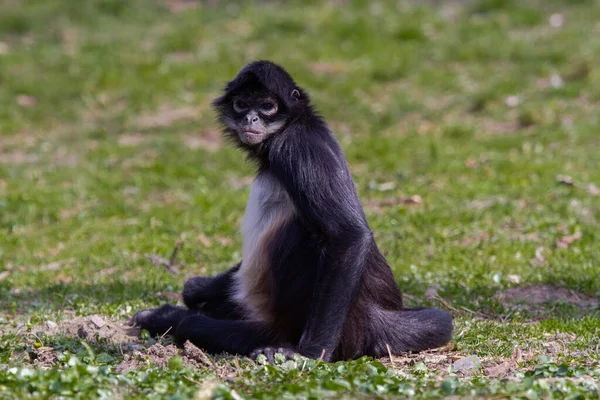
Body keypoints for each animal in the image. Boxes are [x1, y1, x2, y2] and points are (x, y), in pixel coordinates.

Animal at [134, 60, 452, 362]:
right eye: (241, 104)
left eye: (267, 106)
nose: (250, 118)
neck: (293, 125)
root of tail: (374, 319)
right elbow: (193, 288)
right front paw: (198, 288)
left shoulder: (297, 147)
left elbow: (348, 235)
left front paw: (309, 353)